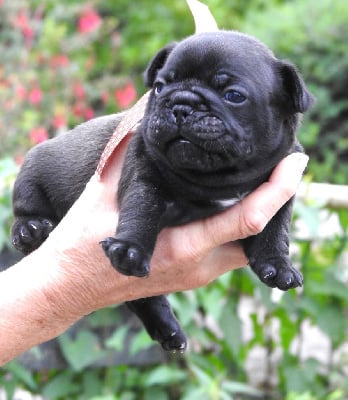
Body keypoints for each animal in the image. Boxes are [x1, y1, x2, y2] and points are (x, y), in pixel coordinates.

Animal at [12, 30, 314, 350]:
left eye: (234, 95)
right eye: (159, 87)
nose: (181, 104)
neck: (218, 179)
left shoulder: (282, 186)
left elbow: (275, 228)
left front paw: (278, 263)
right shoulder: (146, 175)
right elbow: (142, 209)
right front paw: (129, 248)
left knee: (141, 297)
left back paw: (167, 329)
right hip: (32, 171)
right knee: (25, 206)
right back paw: (31, 230)